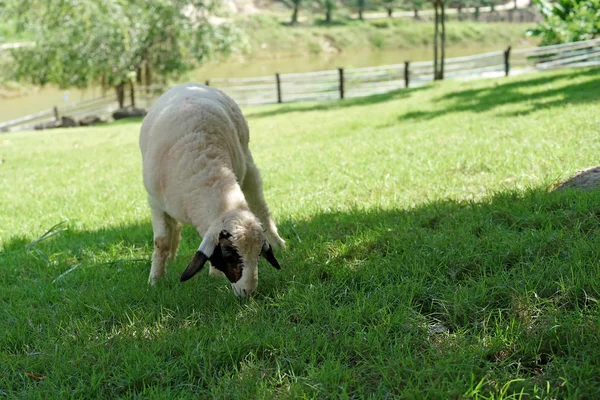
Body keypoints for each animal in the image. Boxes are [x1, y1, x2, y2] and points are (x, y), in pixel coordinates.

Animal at [139, 83, 284, 298]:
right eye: (228, 253)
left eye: (259, 254)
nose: (248, 293)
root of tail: (189, 84)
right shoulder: (155, 202)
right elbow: (161, 241)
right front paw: (156, 279)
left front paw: (214, 275)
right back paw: (171, 257)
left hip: (248, 163)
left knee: (260, 206)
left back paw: (278, 242)